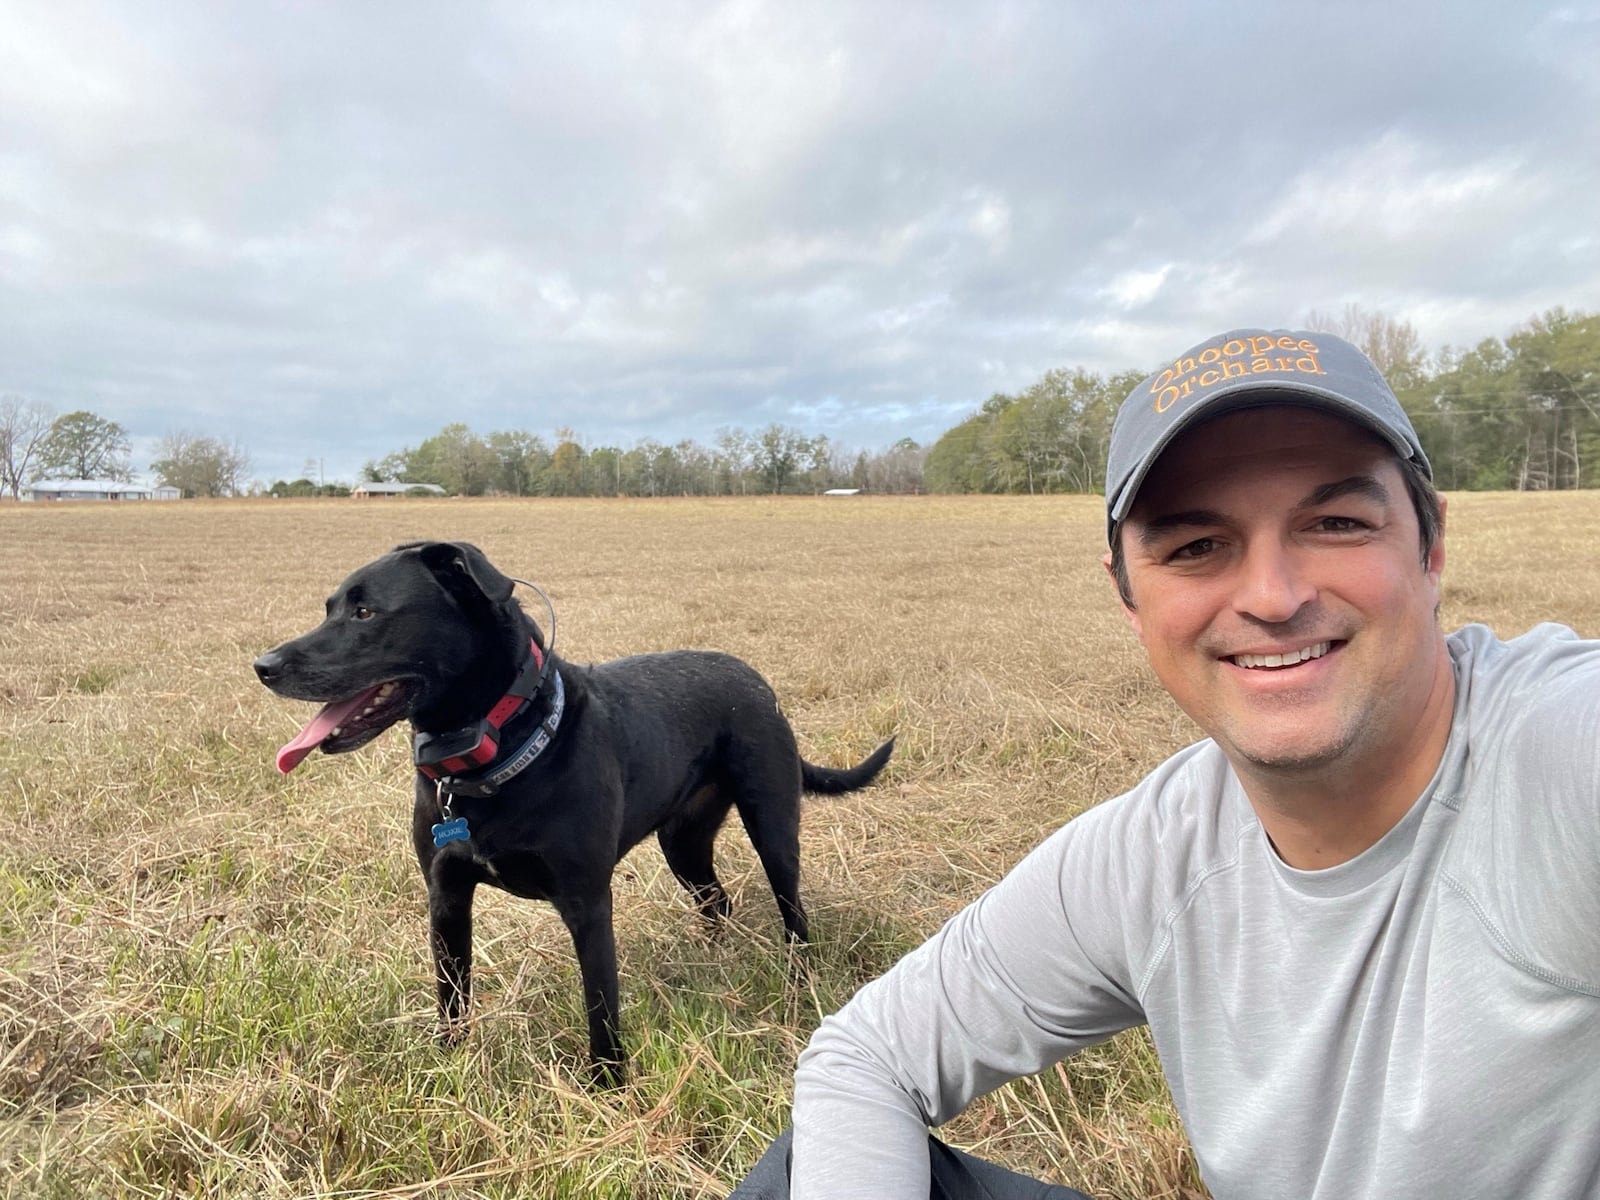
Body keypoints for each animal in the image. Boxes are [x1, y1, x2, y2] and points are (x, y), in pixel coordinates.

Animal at [256, 540, 896, 1088]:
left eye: (365, 612)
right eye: (331, 607)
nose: (264, 665)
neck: (494, 749)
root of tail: (755, 679)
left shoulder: (587, 902)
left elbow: (601, 1002)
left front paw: (609, 1086)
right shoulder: (446, 896)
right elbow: (452, 995)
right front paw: (450, 1067)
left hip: (772, 826)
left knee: (792, 911)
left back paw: (797, 982)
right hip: (683, 844)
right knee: (717, 900)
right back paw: (713, 957)